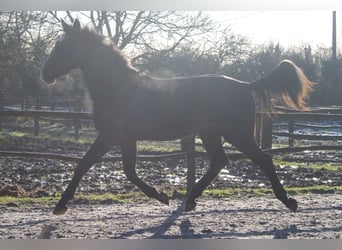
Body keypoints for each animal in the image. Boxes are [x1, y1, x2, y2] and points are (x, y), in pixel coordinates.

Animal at [40, 19, 316, 215]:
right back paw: (190, 201)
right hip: (210, 133)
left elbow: (84, 165)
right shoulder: (126, 139)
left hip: (236, 133)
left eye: (65, 46)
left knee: (263, 159)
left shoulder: (110, 136)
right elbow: (128, 171)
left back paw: (289, 202)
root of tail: (244, 85)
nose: (45, 73)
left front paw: (60, 206)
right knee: (219, 161)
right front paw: (162, 196)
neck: (118, 88)